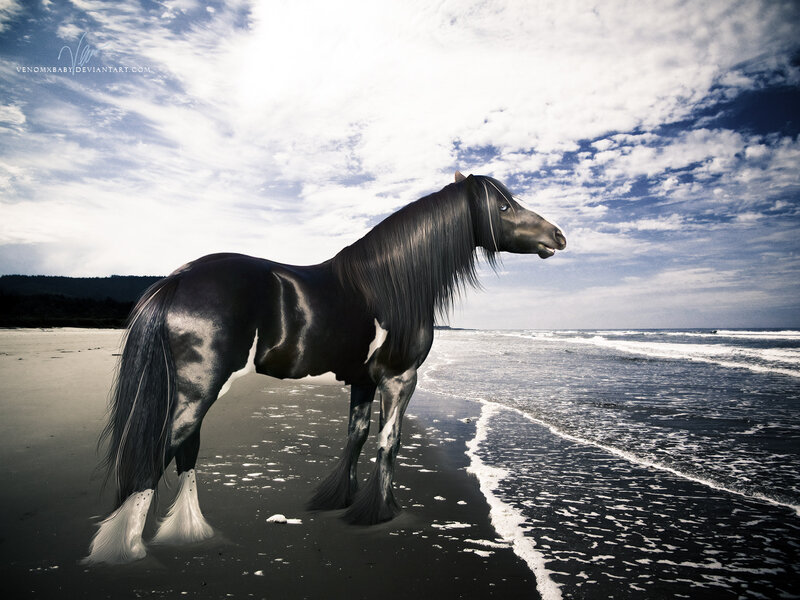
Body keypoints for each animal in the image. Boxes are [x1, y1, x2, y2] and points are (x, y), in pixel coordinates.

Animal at [84, 171, 566, 564]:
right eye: (503, 207)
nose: (558, 236)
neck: (388, 284)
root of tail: (179, 277)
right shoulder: (400, 379)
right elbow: (389, 442)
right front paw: (378, 512)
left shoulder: (362, 382)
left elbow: (356, 436)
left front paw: (340, 499)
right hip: (197, 390)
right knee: (156, 455)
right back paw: (127, 551)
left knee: (184, 453)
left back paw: (187, 533)